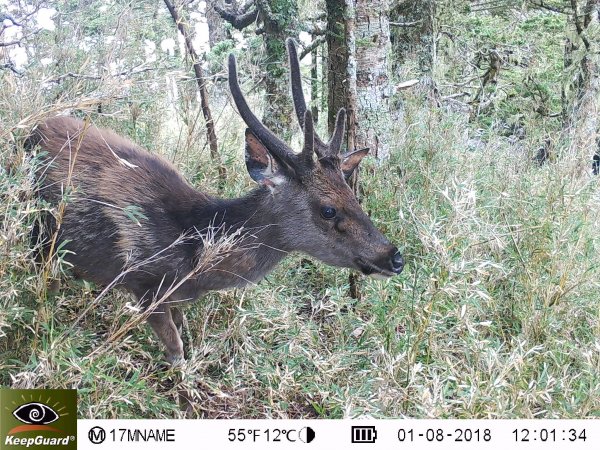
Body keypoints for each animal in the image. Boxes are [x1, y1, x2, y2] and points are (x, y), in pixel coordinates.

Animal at [28, 38, 404, 362]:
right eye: (328, 209)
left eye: (353, 194)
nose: (394, 257)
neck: (192, 247)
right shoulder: (144, 284)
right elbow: (177, 351)